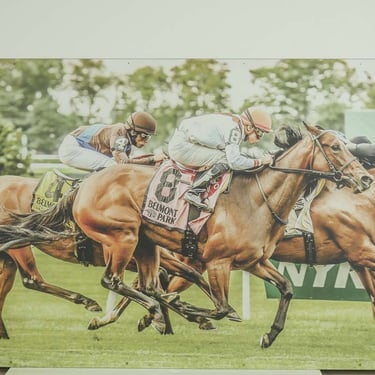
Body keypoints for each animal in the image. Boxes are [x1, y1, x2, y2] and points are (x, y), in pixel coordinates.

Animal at [0, 125, 372, 348]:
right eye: (335, 147)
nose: (364, 179)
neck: (257, 198)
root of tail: (85, 186)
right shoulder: (218, 261)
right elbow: (221, 306)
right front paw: (192, 314)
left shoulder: (253, 261)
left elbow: (287, 288)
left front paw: (269, 334)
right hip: (123, 238)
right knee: (110, 281)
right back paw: (125, 308)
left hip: (145, 245)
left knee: (146, 285)